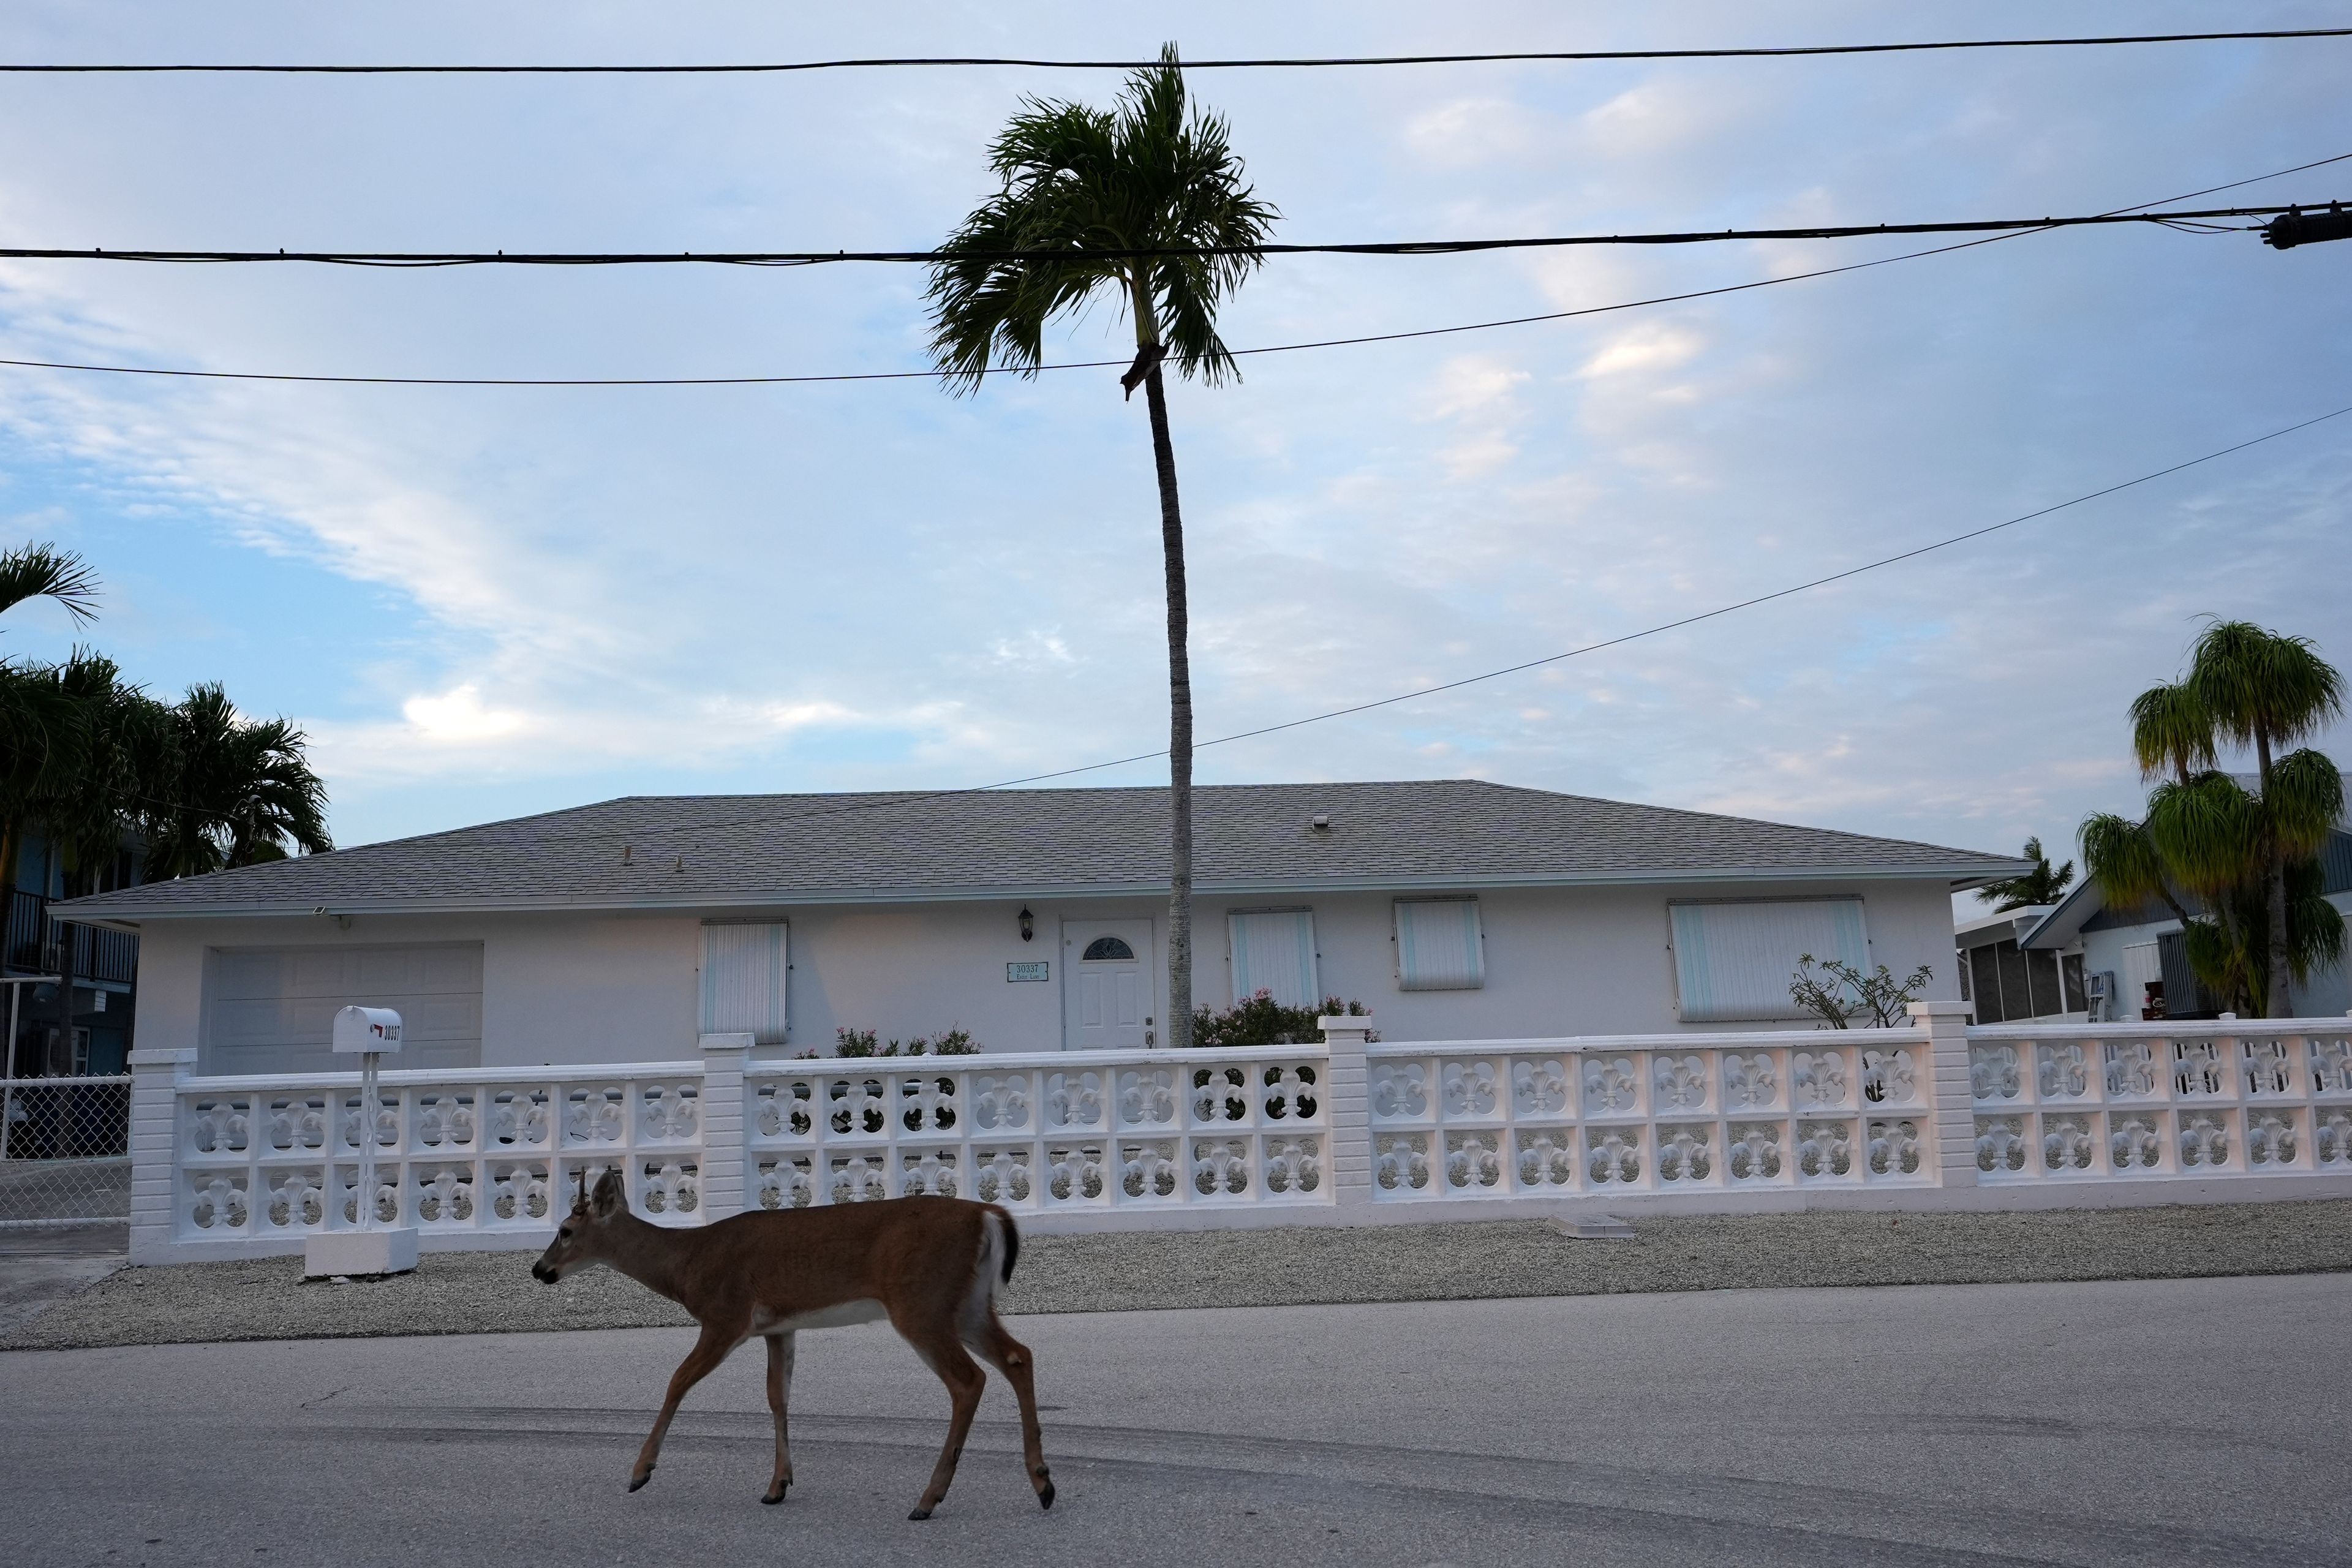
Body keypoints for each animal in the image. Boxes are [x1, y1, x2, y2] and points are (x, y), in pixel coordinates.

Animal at [533, 1175, 1058, 1523]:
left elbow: (678, 1380)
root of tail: (989, 1215)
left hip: (922, 1303)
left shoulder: (726, 1316)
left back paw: (929, 1499)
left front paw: (641, 1471)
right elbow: (777, 1397)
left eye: (565, 1230)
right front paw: (777, 1486)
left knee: (969, 1380)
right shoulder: (778, 1328)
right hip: (967, 1305)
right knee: (1019, 1356)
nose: (540, 1270)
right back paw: (1043, 1483)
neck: (686, 1265)